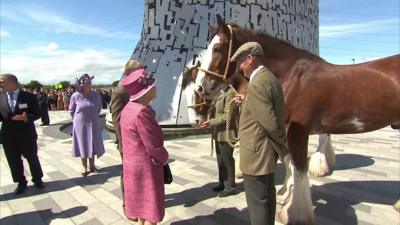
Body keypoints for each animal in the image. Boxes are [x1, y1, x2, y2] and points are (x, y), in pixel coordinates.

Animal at [191, 14, 400, 224]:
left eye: (218, 48)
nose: (200, 87)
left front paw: (295, 213)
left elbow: (299, 168)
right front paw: (285, 194)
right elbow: (289, 162)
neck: (291, 76)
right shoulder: (280, 129)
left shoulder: (297, 132)